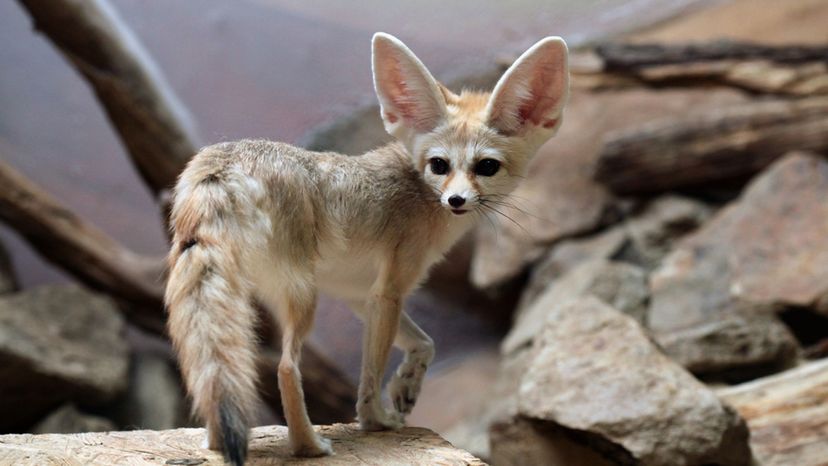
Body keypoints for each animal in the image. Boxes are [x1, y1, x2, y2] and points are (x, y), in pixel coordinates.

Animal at [168, 31, 568, 462]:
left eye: (487, 167)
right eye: (439, 165)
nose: (456, 200)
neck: (419, 190)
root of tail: (223, 164)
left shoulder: (358, 293)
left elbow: (425, 342)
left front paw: (407, 386)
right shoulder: (389, 291)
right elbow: (371, 372)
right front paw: (376, 420)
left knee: (214, 372)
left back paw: (215, 441)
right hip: (303, 299)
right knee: (286, 369)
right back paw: (308, 445)